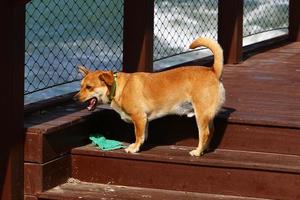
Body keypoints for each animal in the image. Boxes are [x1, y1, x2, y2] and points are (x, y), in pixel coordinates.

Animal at [75, 37, 225, 156]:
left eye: (89, 87)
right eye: (80, 86)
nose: (74, 99)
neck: (118, 87)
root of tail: (213, 71)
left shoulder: (139, 117)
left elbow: (138, 135)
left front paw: (134, 148)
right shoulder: (144, 120)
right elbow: (144, 135)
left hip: (201, 114)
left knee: (205, 133)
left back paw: (198, 151)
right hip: (206, 115)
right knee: (211, 131)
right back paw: (205, 149)